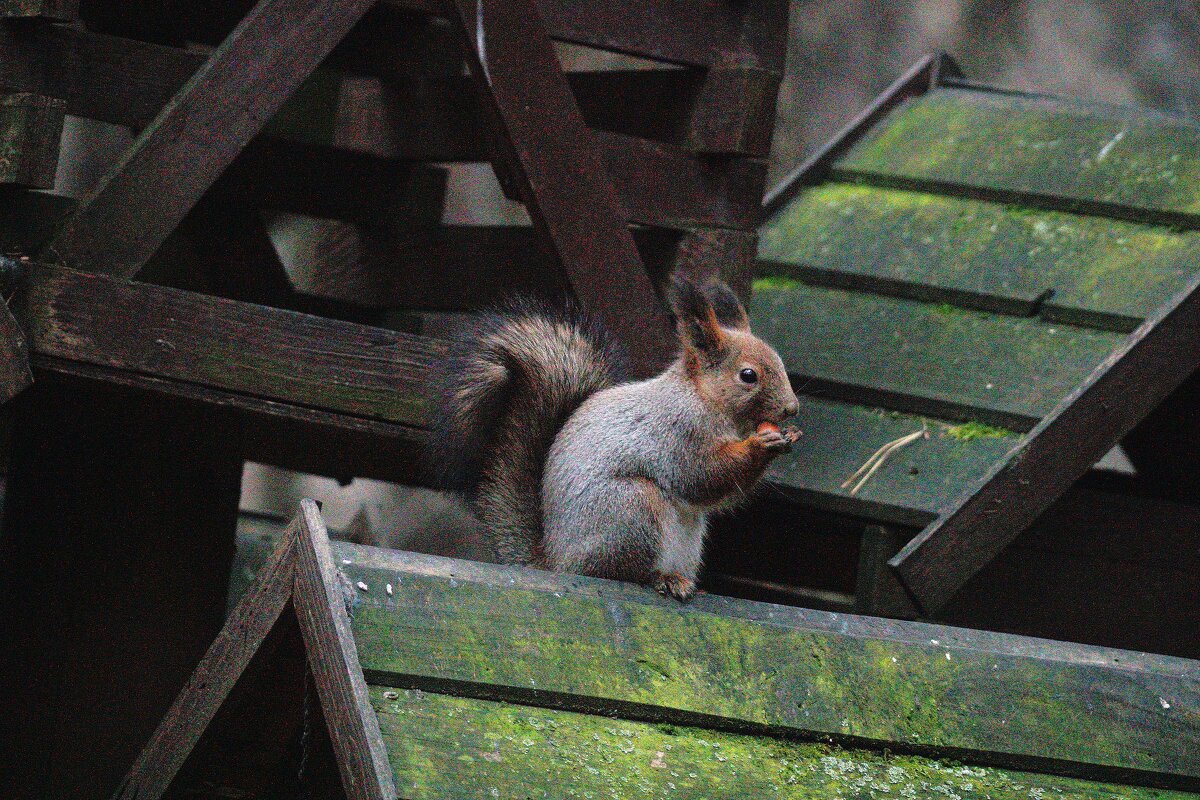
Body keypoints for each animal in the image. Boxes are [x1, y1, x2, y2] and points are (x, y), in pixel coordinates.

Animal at [436, 277, 801, 599]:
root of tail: (558, 562)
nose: (791, 408)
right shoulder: (676, 434)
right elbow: (699, 477)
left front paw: (787, 437)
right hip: (630, 509)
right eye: (748, 375)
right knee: (619, 571)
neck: (705, 400)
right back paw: (663, 579)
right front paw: (762, 445)